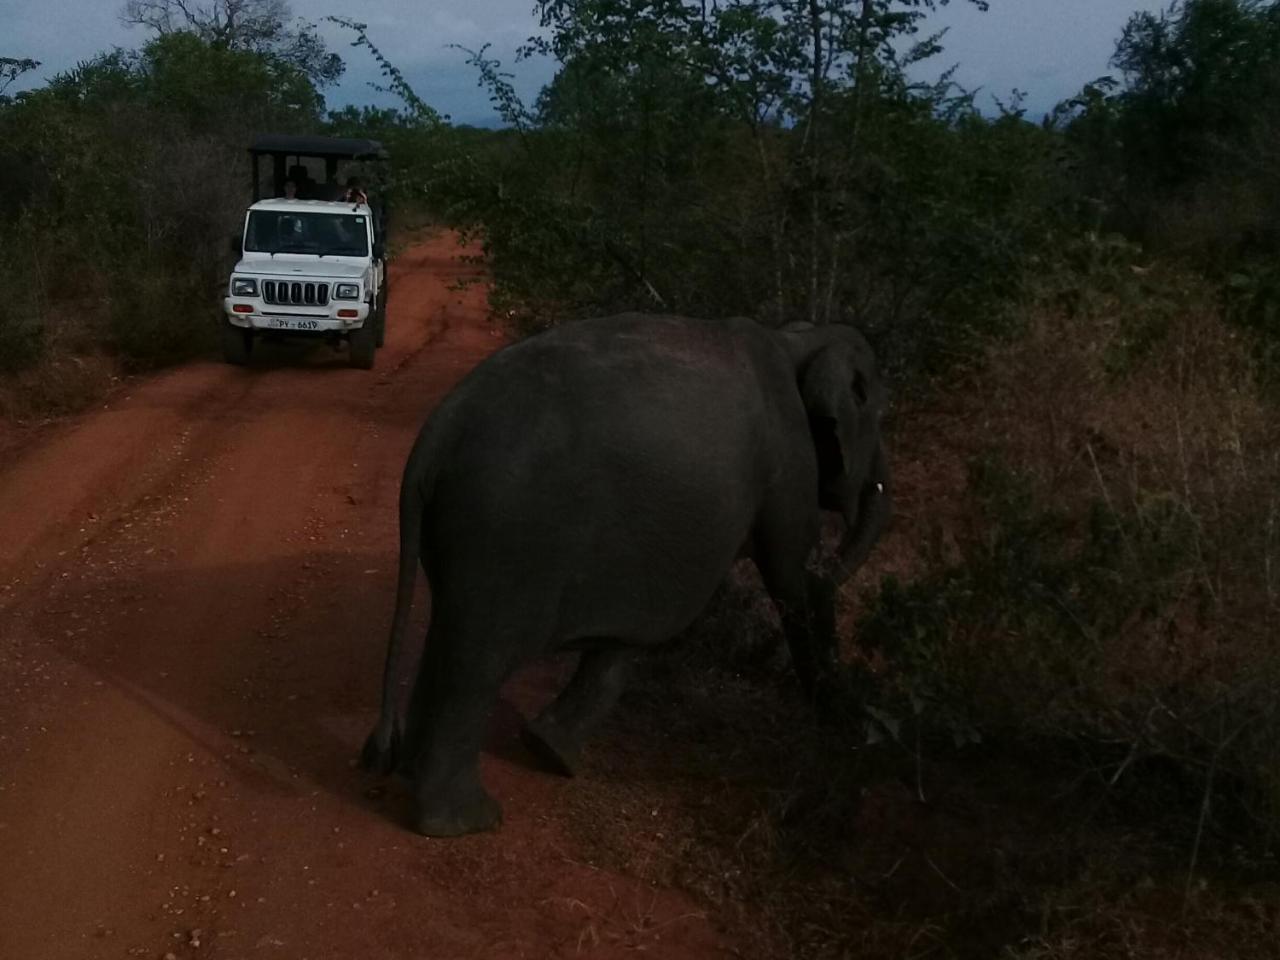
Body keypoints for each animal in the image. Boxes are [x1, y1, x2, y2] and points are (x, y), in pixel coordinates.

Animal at [355, 313, 885, 834]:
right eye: (875, 414)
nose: (871, 730)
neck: (797, 339)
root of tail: (435, 440)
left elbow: (627, 641)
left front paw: (551, 754)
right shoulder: (789, 459)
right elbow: (795, 580)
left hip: (464, 531)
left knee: (449, 634)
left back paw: (414, 779)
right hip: (505, 539)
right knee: (480, 659)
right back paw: (467, 821)